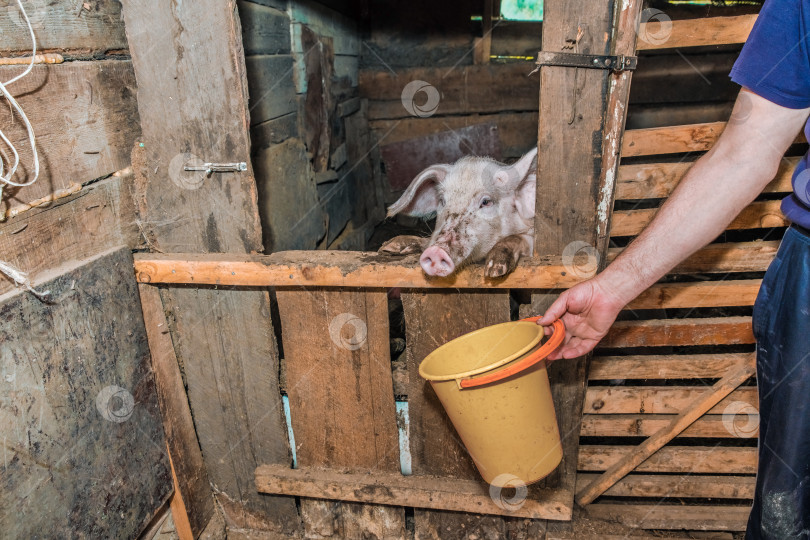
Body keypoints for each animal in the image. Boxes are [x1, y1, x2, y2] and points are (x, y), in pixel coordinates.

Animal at [378, 147, 536, 278]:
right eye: (442, 200)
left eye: (486, 202)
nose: (436, 251)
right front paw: (389, 246)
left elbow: (518, 238)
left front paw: (494, 270)